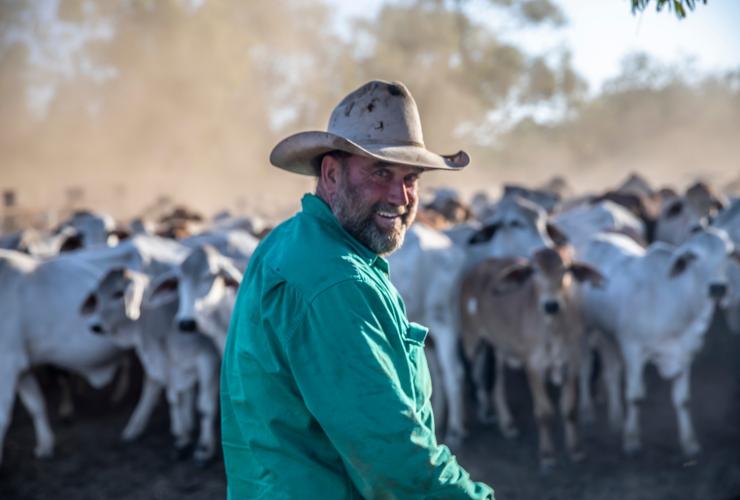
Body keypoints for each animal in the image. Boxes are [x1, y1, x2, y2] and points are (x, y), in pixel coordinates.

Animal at [580, 229, 736, 458]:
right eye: (693, 256)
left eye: (729, 253)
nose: (717, 288)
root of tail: (598, 236)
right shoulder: (633, 349)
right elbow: (635, 396)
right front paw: (631, 440)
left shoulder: (685, 354)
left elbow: (683, 400)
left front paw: (690, 443)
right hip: (585, 327)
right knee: (584, 366)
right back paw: (587, 413)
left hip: (608, 333)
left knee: (611, 370)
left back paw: (616, 418)